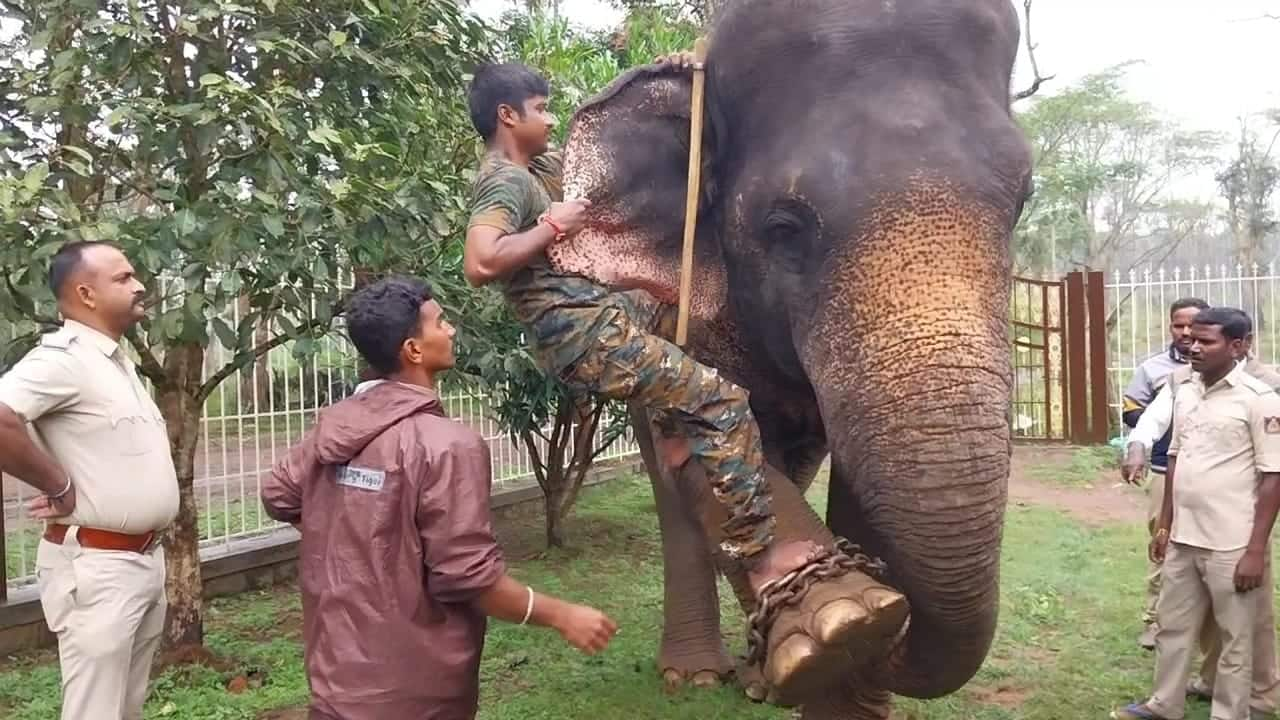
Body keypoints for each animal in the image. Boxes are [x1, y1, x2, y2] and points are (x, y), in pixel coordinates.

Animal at [547, 2, 1029, 712]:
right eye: (784, 227)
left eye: (1023, 201)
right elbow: (698, 428)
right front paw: (841, 621)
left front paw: (844, 665)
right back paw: (695, 674)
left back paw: (758, 671)